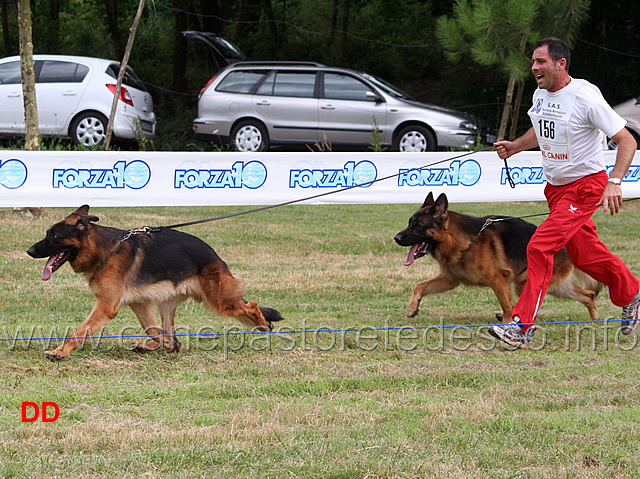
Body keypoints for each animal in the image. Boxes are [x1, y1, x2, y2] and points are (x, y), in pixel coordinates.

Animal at [27, 205, 282, 360]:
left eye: (53, 236)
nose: (29, 251)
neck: (103, 250)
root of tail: (216, 256)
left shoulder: (106, 306)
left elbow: (80, 330)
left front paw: (60, 352)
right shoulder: (138, 303)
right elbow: (153, 329)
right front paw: (165, 344)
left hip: (220, 301)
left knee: (252, 305)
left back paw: (263, 325)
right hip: (167, 303)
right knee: (167, 330)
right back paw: (163, 345)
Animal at [392, 192, 604, 322]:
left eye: (418, 226)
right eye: (409, 222)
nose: (396, 238)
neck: (461, 240)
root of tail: (564, 248)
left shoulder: (498, 281)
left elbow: (507, 305)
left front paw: (507, 322)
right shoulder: (450, 279)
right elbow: (420, 286)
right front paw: (412, 307)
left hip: (527, 283)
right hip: (556, 287)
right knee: (589, 295)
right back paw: (595, 319)